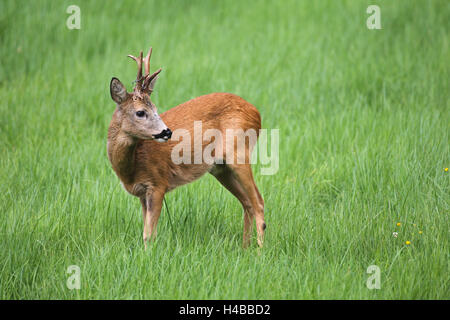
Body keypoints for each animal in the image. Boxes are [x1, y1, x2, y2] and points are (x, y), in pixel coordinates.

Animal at [107, 46, 266, 249]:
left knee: (259, 202)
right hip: (220, 169)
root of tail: (256, 112)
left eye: (156, 109)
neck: (131, 167)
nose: (167, 132)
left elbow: (149, 235)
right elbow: (146, 231)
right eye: (140, 112)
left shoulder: (158, 183)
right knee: (247, 203)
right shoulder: (143, 192)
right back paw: (245, 248)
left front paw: (149, 255)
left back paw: (259, 251)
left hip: (239, 154)